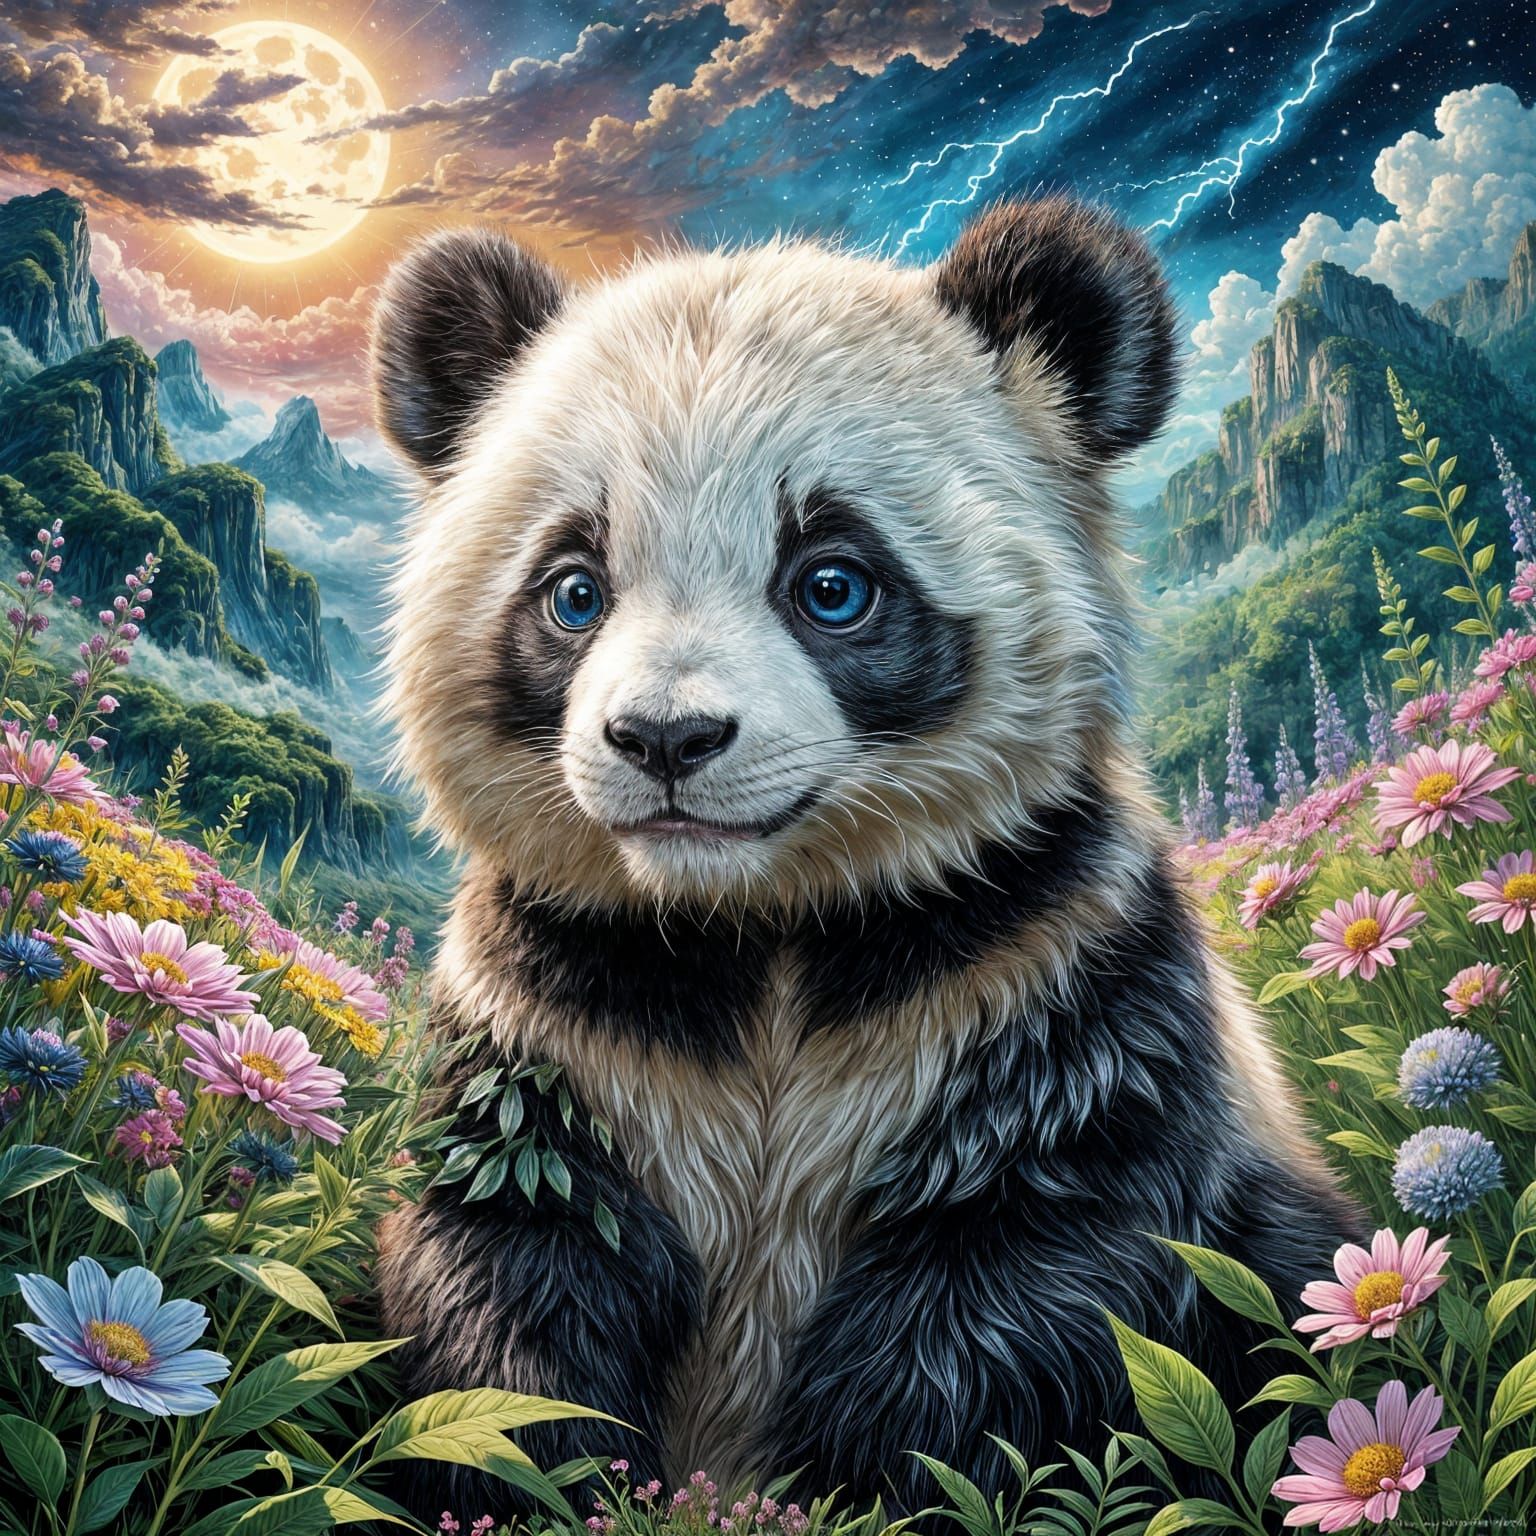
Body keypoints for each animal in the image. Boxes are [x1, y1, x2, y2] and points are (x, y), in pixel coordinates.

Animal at [371, 198, 1359, 1519]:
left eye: (832, 582)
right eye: (574, 590)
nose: (666, 739)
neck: (762, 930)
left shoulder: (1053, 982)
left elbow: (1014, 1297)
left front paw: (829, 1496)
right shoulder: (555, 1018)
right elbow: (506, 1265)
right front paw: (555, 1477)